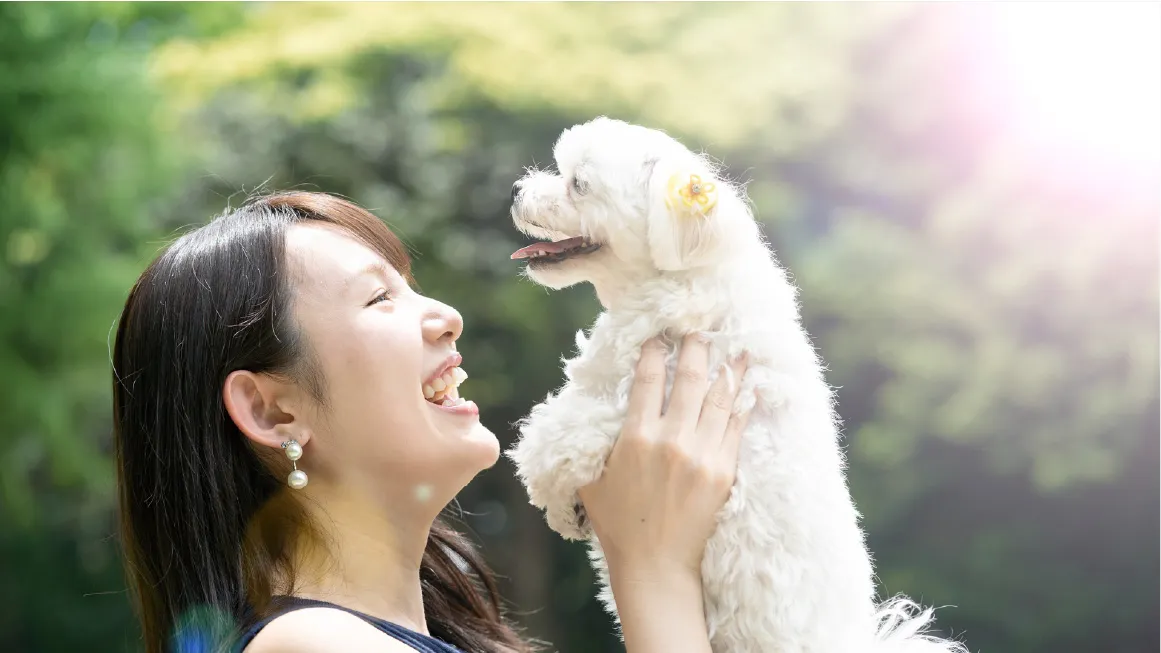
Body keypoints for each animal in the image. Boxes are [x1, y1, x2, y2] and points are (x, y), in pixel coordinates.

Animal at [508, 117, 970, 650]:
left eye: (578, 184)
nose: (516, 189)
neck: (680, 285)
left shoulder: (637, 404)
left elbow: (553, 437)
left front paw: (556, 502)